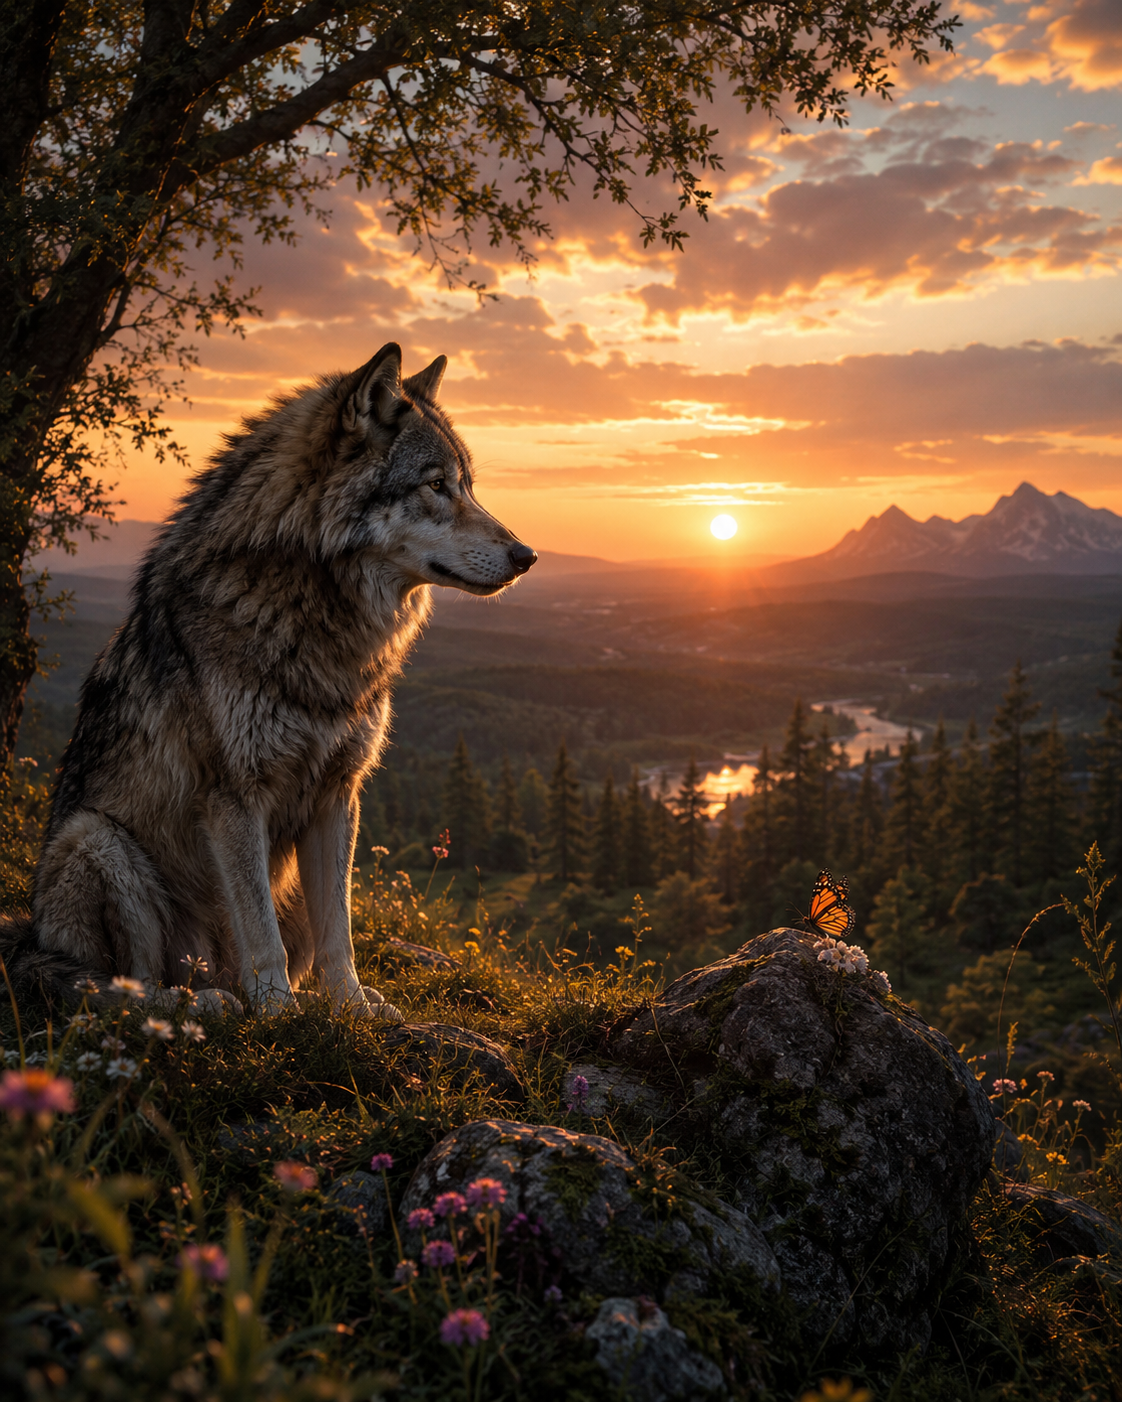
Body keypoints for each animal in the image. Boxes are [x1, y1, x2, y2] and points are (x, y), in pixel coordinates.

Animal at [7, 343, 535, 1019]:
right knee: (132, 985)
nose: (527, 556)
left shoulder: (339, 793)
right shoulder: (235, 795)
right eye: (436, 485)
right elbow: (258, 926)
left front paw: (351, 1009)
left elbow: (339, 930)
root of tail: (29, 936)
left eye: (468, 485)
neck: (314, 612)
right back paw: (207, 1003)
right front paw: (279, 1011)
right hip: (95, 840)